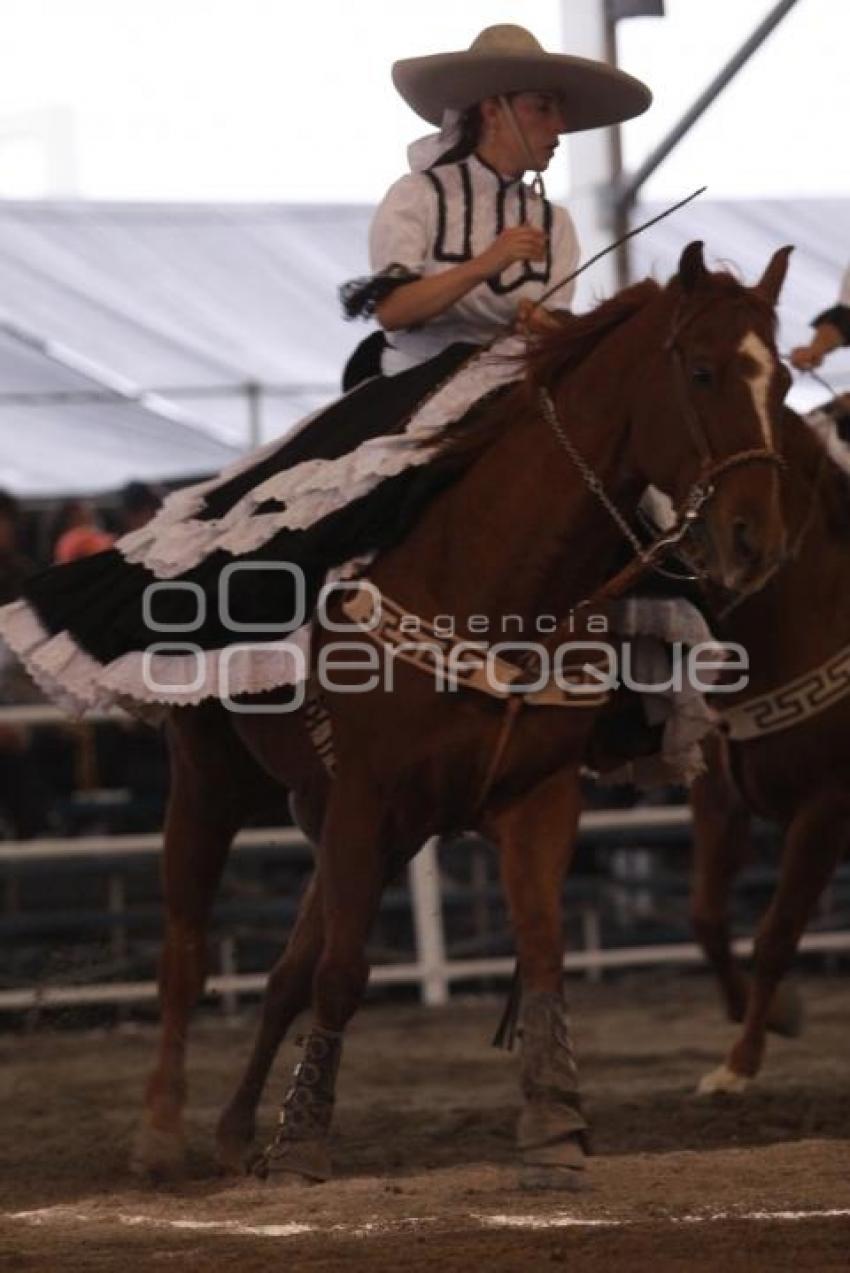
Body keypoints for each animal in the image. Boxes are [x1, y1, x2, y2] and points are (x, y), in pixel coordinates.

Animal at [131, 243, 788, 1186]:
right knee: (185, 952)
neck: (491, 582)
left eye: (782, 383)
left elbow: (541, 948)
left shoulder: (530, 796)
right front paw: (302, 1140)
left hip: (353, 818)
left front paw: (554, 1122)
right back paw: (160, 1127)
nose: (754, 542)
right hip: (212, 782)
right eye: (700, 371)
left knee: (286, 968)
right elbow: (344, 971)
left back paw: (231, 1128)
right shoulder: (365, 795)